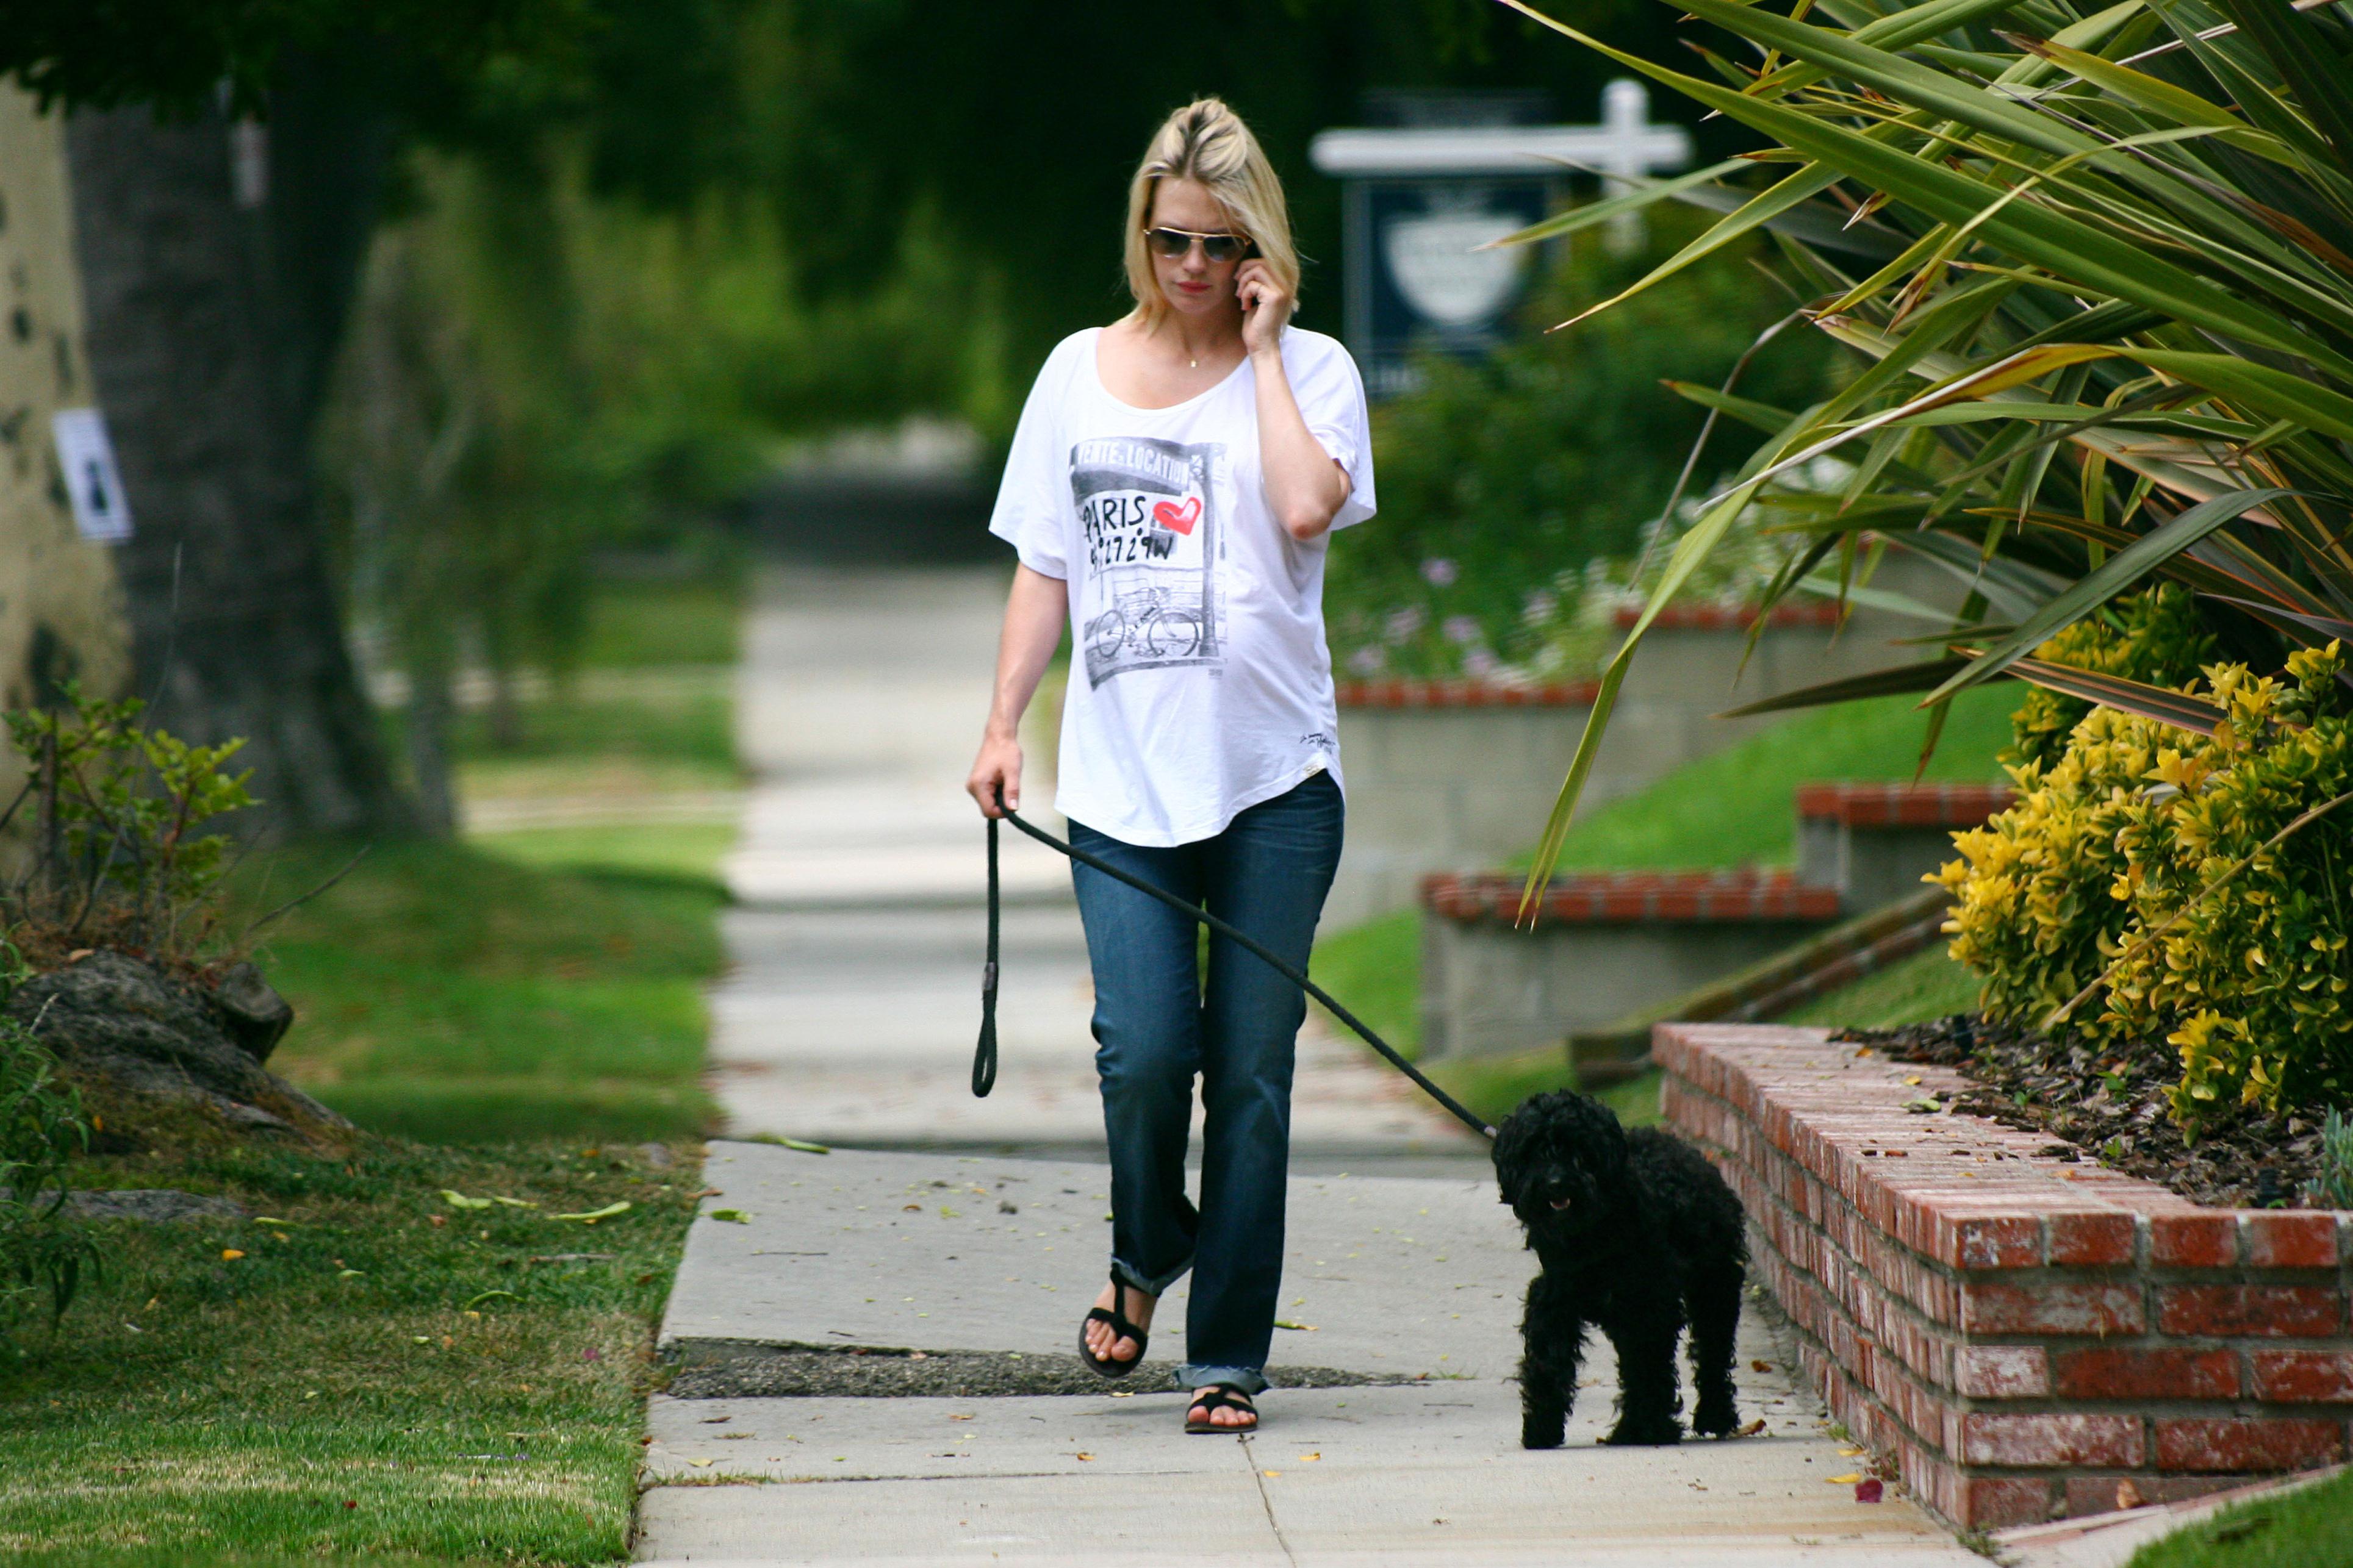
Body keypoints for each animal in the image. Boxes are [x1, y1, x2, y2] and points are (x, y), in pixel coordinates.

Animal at [1487, 1090, 1750, 1448]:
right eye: (1535, 1148)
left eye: (1580, 1149)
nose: (1556, 1183)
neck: (1595, 1232)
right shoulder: (1555, 1301)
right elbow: (1549, 1361)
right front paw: (1542, 1427)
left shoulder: (1650, 1308)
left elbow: (1649, 1368)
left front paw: (1648, 1428)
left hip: (1715, 1288)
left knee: (1713, 1353)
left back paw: (1714, 1414)